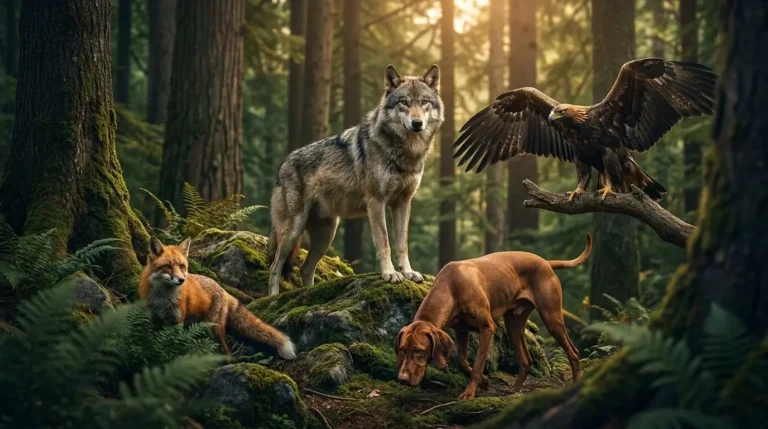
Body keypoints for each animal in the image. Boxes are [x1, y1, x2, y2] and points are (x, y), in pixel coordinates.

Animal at [267, 64, 444, 296]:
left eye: (424, 102)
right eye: (404, 102)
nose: (417, 123)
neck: (406, 152)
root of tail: (283, 165)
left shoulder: (403, 203)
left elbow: (402, 243)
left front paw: (408, 272)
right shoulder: (376, 201)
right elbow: (384, 241)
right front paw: (390, 274)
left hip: (326, 235)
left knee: (305, 269)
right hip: (293, 231)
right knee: (274, 266)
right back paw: (271, 299)